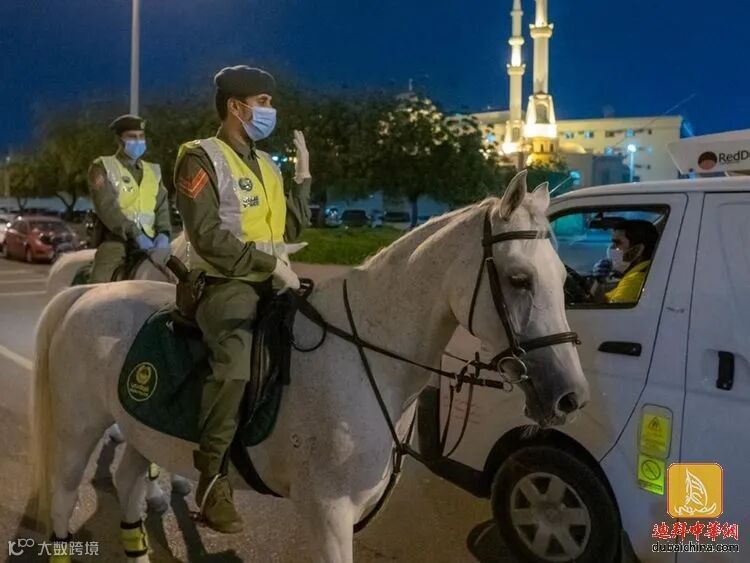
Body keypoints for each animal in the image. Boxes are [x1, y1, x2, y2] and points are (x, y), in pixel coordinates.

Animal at [30, 171, 588, 562]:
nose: (570, 396)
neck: (366, 358)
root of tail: (85, 294)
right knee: (62, 499)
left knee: (129, 485)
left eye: (565, 279)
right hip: (78, 430)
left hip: (141, 427)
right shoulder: (327, 514)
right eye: (518, 279)